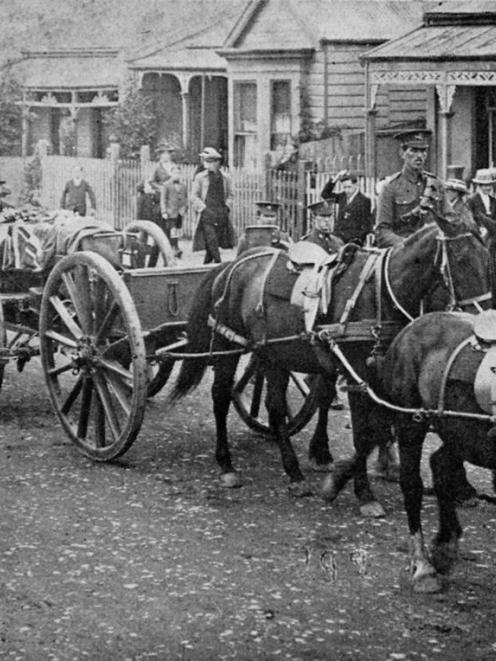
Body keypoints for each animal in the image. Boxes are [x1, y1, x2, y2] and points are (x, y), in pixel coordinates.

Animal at [169, 217, 490, 510]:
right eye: (461, 258)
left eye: (486, 257)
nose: (484, 323)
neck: (380, 293)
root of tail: (232, 265)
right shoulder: (358, 375)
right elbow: (364, 432)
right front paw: (362, 492)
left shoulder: (383, 380)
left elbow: (376, 429)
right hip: (229, 347)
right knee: (221, 397)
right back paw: (227, 465)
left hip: (272, 354)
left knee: (275, 408)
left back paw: (294, 474)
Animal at [382, 310, 496, 592]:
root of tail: (411, 326)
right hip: (410, 421)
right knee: (411, 483)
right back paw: (424, 566)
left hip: (461, 432)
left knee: (440, 463)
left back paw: (445, 546)